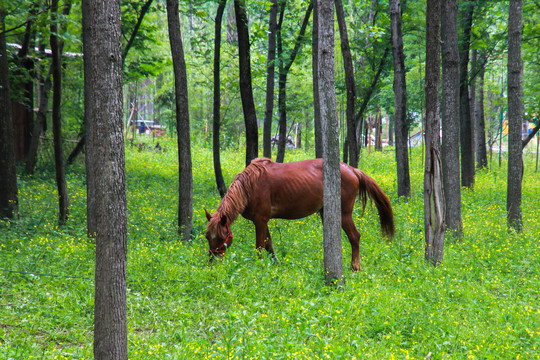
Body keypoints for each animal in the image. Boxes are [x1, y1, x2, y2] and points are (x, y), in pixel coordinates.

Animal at [205, 158, 394, 270]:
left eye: (221, 238)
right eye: (207, 237)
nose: (212, 262)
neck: (249, 185)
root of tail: (352, 169)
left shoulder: (260, 220)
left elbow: (259, 246)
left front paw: (260, 267)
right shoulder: (264, 221)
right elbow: (269, 244)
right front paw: (275, 265)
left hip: (344, 214)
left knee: (355, 237)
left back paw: (355, 267)